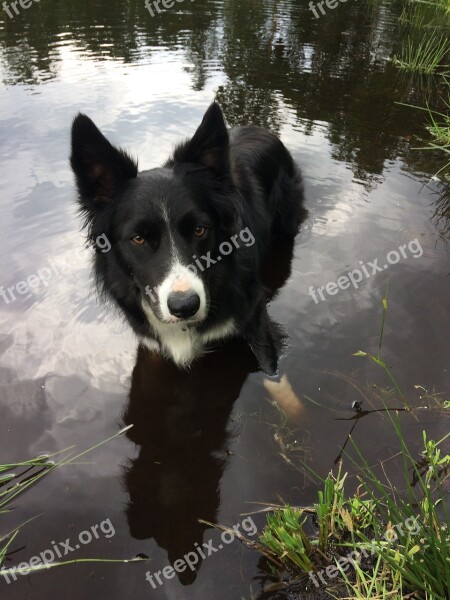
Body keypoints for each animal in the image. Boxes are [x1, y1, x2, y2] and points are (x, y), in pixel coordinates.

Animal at [70, 103, 308, 376]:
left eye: (199, 230)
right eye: (138, 238)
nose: (184, 307)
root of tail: (262, 130)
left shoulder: (254, 310)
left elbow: (269, 364)